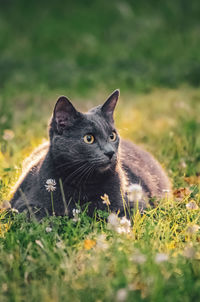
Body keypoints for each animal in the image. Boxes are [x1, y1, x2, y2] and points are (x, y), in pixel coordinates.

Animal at [10, 89, 170, 219]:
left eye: (112, 136)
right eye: (89, 138)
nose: (110, 152)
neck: (84, 182)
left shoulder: (136, 202)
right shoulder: (22, 203)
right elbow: (39, 216)